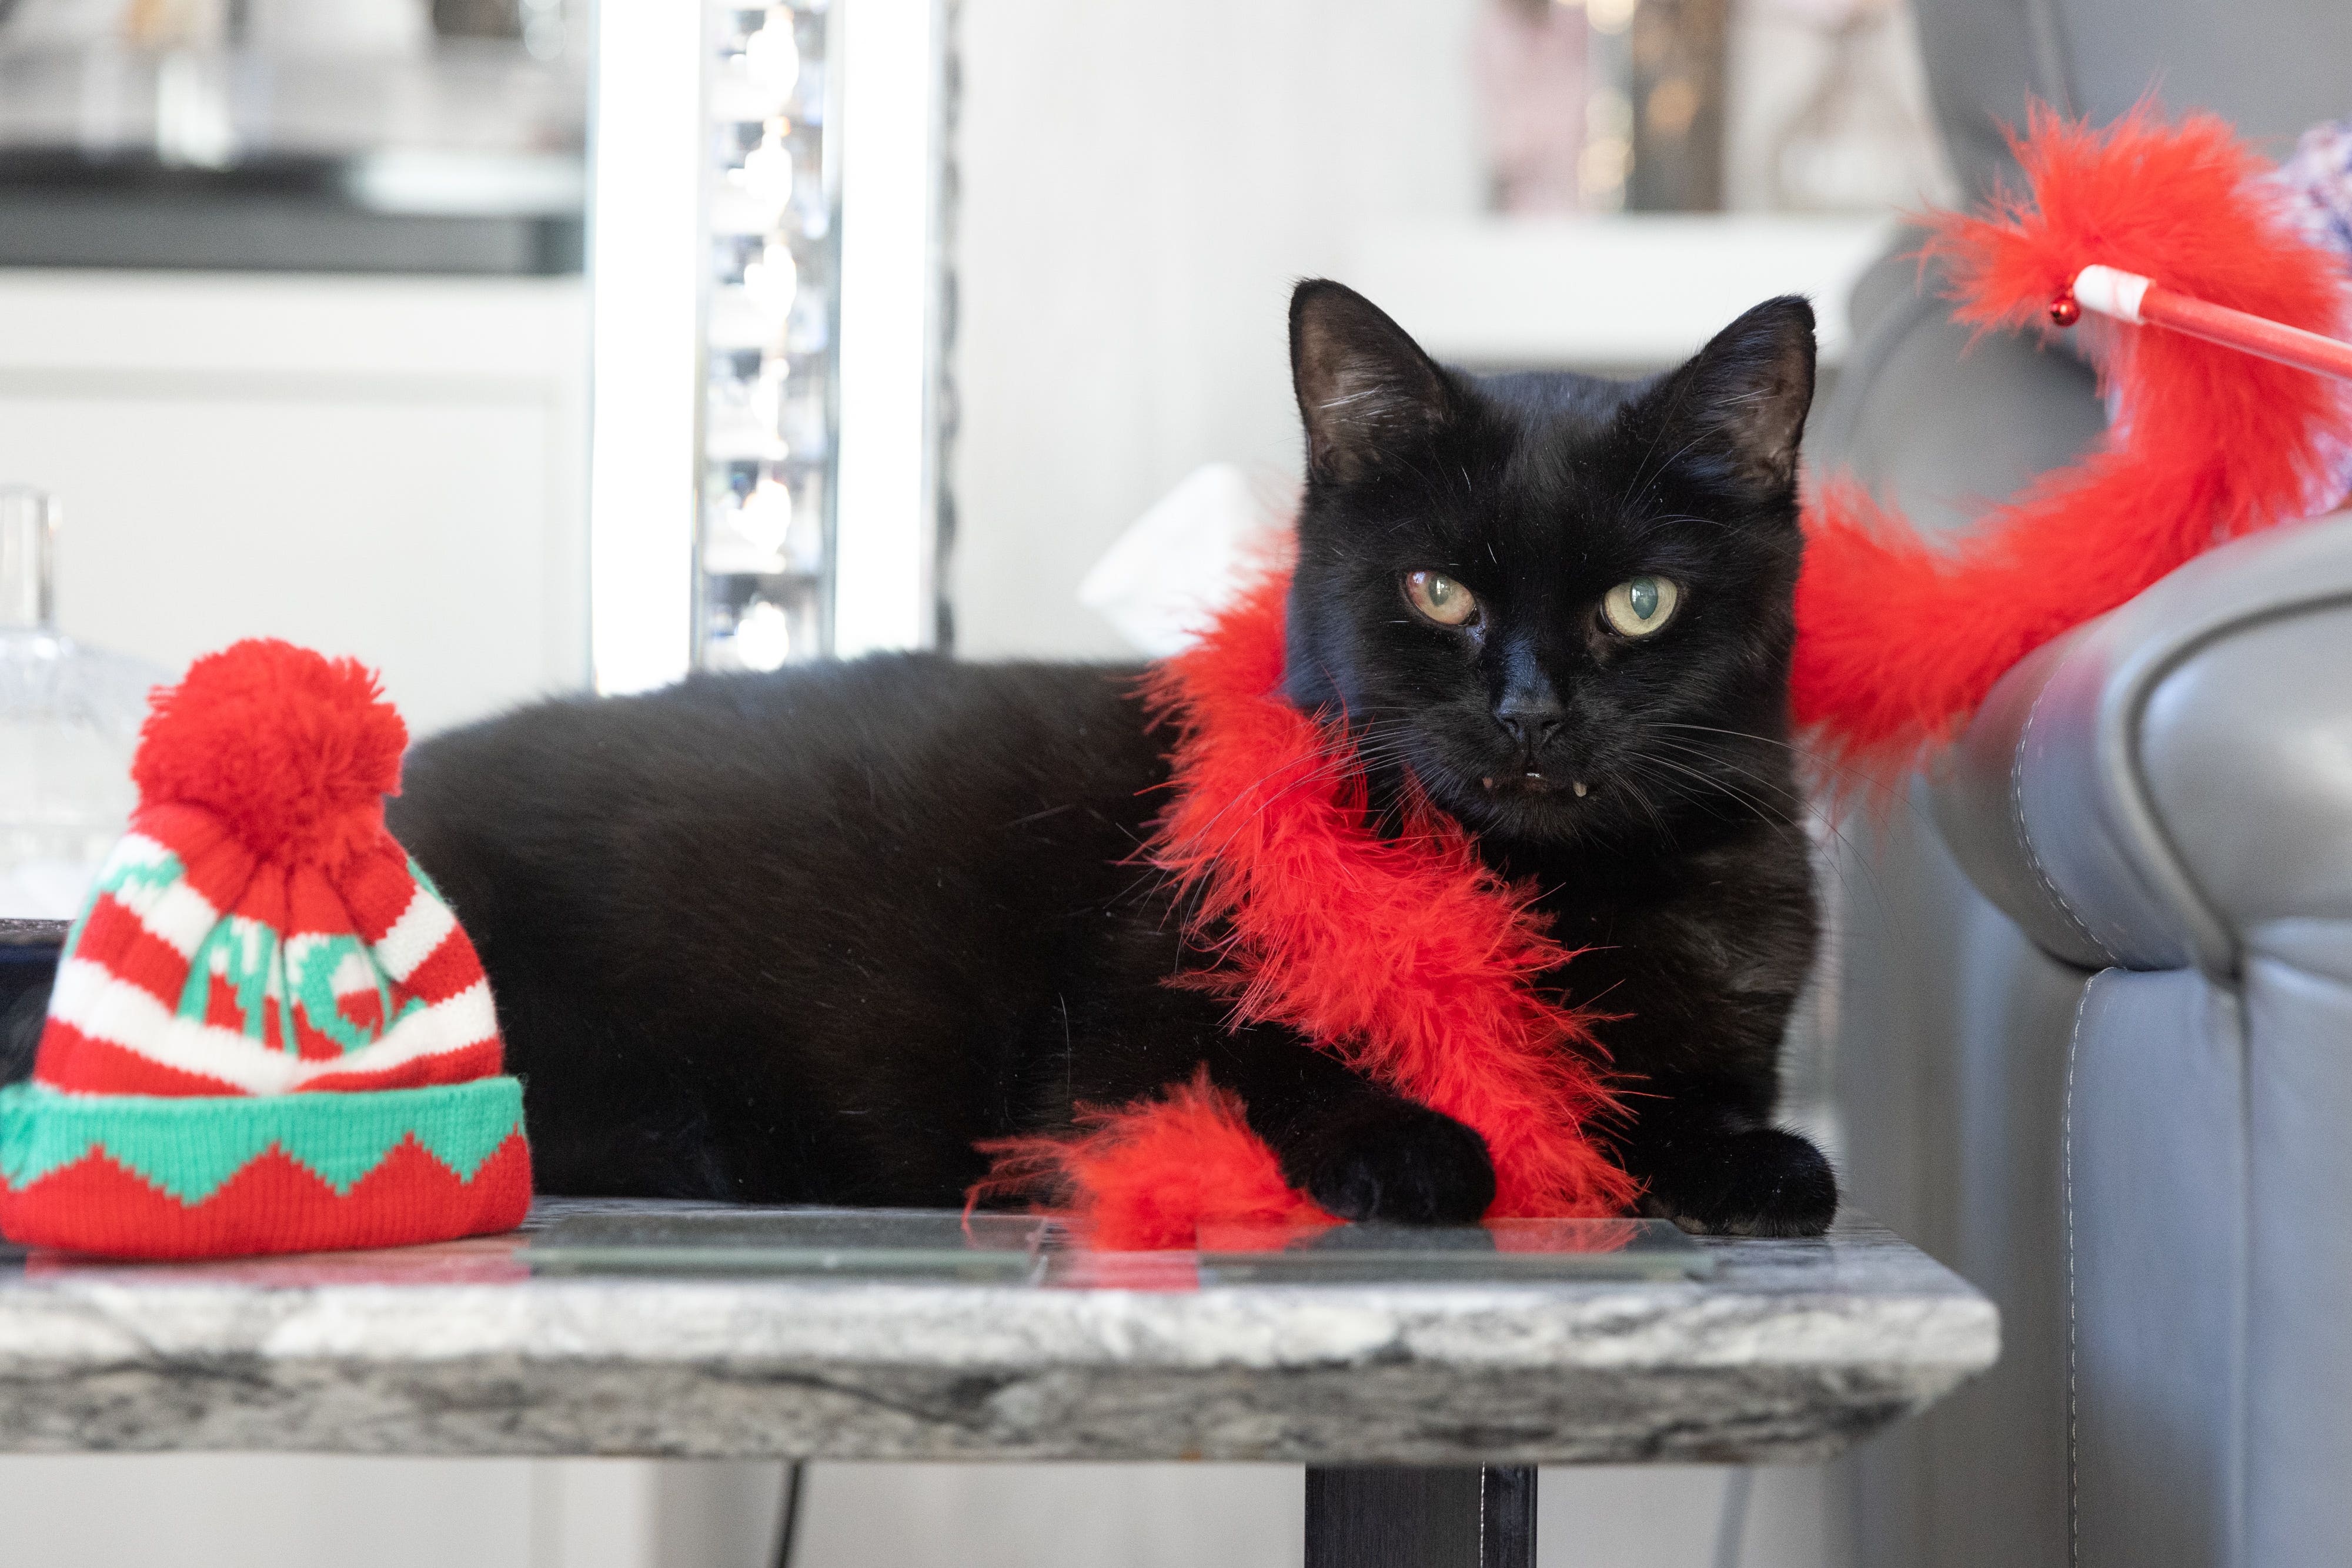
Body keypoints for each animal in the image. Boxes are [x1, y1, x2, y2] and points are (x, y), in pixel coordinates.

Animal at [395, 282, 1835, 1241]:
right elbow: (1265, 1071)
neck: (1548, 899)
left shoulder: (1723, 1036)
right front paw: (1416, 1145)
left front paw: (1762, 1169)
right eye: (1438, 593)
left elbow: (1701, 1115)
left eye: (1639, 604)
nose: (1529, 711)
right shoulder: (1106, 1054)